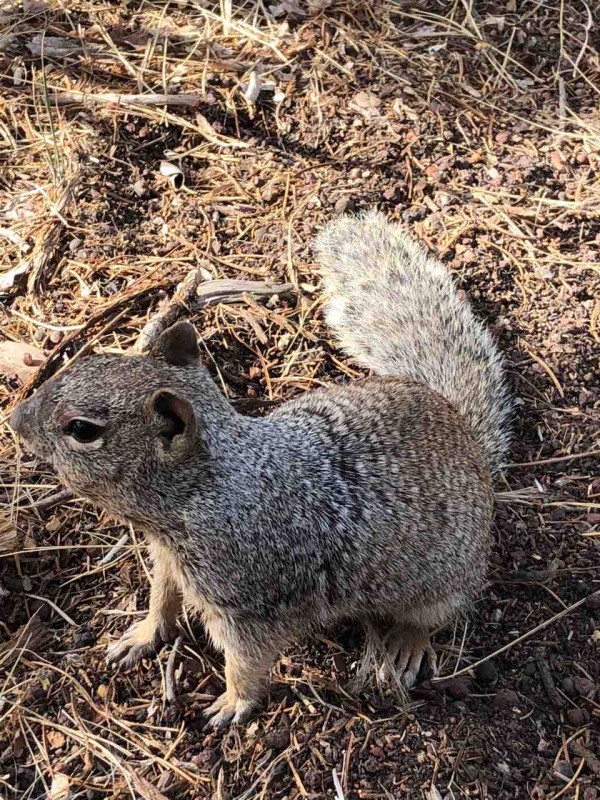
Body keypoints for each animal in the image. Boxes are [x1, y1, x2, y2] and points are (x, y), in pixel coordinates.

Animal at [9, 211, 510, 732]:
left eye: (82, 429)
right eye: (88, 360)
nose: (15, 419)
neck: (200, 492)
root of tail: (468, 441)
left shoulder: (250, 602)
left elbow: (246, 662)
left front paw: (232, 703)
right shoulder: (168, 561)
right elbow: (161, 599)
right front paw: (143, 634)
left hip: (442, 581)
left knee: (436, 615)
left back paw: (407, 643)